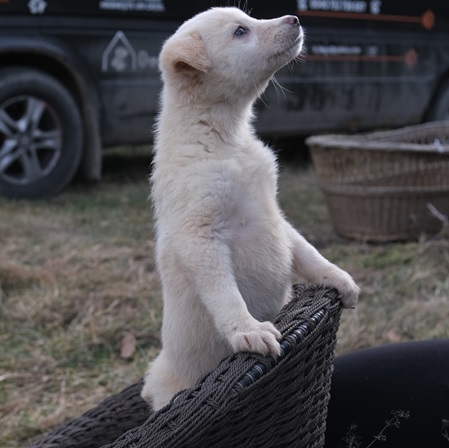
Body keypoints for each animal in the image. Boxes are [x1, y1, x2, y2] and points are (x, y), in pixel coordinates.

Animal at [142, 7, 358, 412]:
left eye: (248, 18)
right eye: (240, 31)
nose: (295, 19)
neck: (222, 137)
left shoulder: (275, 214)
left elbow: (307, 251)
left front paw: (338, 279)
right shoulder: (200, 237)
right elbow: (225, 294)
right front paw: (249, 330)